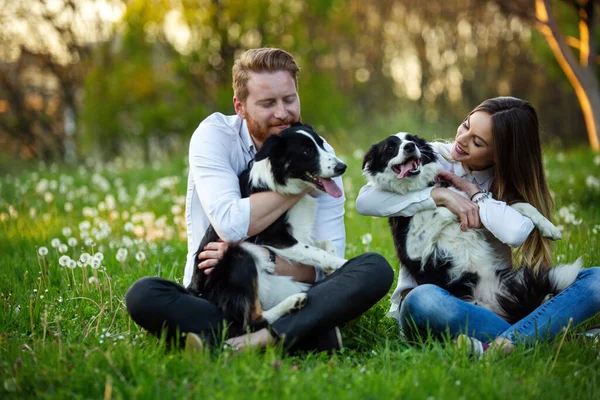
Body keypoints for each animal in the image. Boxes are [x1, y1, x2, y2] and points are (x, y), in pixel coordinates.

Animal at [188, 124, 346, 332]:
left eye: (321, 144)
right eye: (307, 151)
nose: (342, 167)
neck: (281, 181)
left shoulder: (301, 234)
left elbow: (326, 244)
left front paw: (331, 265)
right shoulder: (275, 238)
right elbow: (316, 251)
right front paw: (341, 262)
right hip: (238, 255)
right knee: (252, 322)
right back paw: (292, 303)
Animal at [360, 133, 580, 324]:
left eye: (411, 140)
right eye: (390, 147)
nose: (410, 147)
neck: (419, 186)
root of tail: (494, 301)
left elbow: (519, 205)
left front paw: (549, 228)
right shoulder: (413, 249)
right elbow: (444, 209)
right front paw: (459, 202)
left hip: (517, 278)